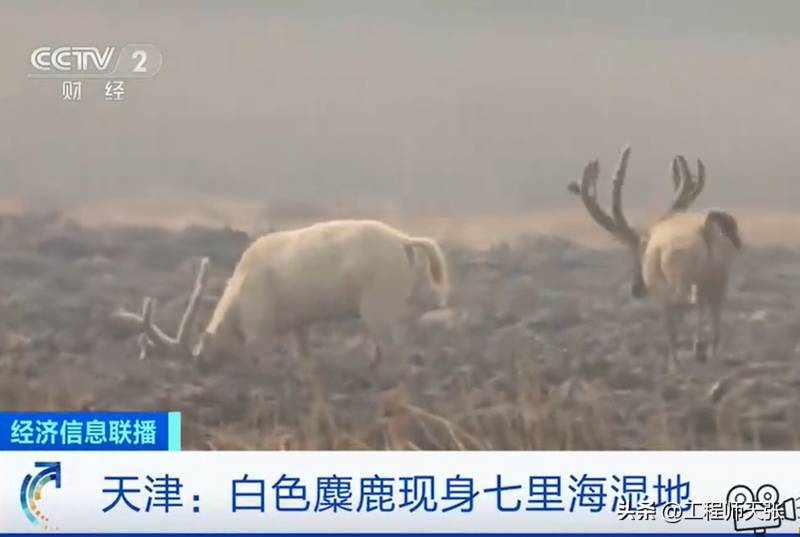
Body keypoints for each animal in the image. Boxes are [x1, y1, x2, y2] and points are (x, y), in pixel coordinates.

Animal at [568, 147, 744, 368]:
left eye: (638, 250)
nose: (636, 289)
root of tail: (704, 230)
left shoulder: (661, 295)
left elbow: (670, 328)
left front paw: (673, 362)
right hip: (719, 282)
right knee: (713, 313)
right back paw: (709, 352)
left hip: (681, 283)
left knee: (689, 302)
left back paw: (697, 349)